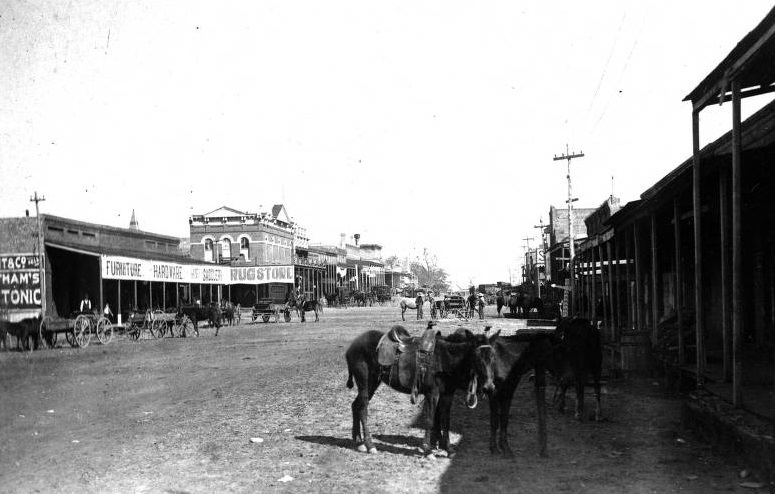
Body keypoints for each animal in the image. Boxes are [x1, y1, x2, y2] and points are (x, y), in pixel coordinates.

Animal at [346, 320, 492, 456]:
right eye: (477, 357)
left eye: (492, 357)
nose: (489, 387)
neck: (445, 358)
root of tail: (352, 347)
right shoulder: (432, 394)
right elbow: (430, 420)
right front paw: (427, 450)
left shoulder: (447, 395)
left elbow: (446, 421)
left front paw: (448, 449)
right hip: (366, 384)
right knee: (363, 409)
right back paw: (369, 445)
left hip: (372, 385)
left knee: (356, 405)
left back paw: (359, 442)